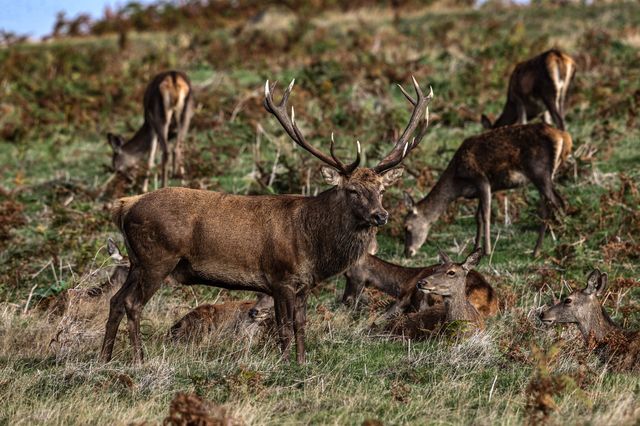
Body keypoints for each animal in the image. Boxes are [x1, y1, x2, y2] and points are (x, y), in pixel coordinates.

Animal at [100, 77, 433, 364]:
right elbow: (283, 326)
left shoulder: (303, 284)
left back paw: (104, 358)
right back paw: (139, 359)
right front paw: (285, 364)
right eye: (352, 190)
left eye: (381, 190)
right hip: (157, 259)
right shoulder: (279, 277)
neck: (313, 245)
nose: (381, 215)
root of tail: (125, 206)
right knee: (132, 303)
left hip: (136, 261)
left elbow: (301, 324)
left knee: (115, 300)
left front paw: (301, 363)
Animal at [403, 123, 572, 258]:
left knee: (558, 202)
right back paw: (537, 250)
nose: (407, 252)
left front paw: (487, 251)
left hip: (539, 171)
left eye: (407, 227)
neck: (457, 181)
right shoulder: (479, 190)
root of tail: (563, 137)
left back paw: (561, 241)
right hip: (548, 174)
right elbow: (477, 216)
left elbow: (485, 215)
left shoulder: (482, 179)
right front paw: (475, 248)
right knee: (547, 206)